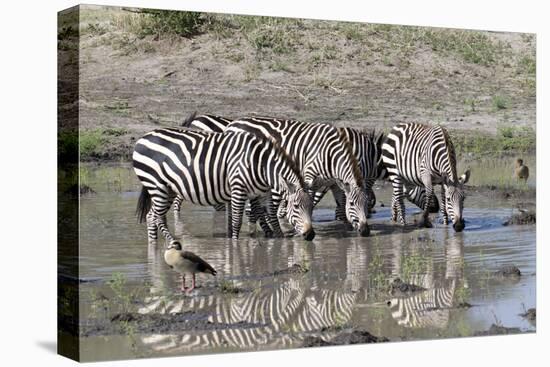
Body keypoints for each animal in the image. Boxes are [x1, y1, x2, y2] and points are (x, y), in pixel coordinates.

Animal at [132, 128, 316, 243]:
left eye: (311, 207)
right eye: (296, 206)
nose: (311, 235)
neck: (261, 165)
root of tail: (144, 137)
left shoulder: (262, 192)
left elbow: (272, 218)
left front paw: (279, 242)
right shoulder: (238, 189)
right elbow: (236, 222)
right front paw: (234, 246)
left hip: (168, 188)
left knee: (155, 216)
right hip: (157, 186)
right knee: (153, 216)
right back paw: (169, 245)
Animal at [226, 118, 374, 239]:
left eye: (366, 203)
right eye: (352, 204)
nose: (365, 231)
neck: (331, 156)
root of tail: (232, 124)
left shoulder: (334, 183)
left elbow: (341, 206)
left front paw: (347, 230)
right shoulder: (310, 179)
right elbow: (310, 205)